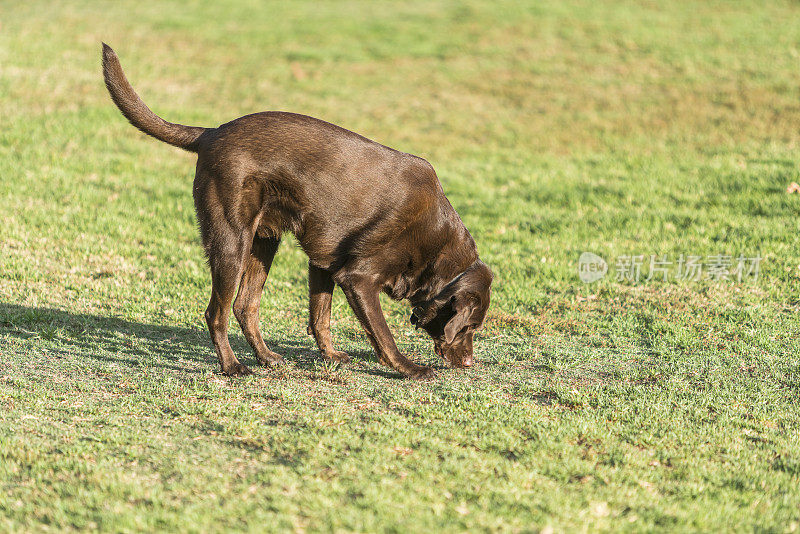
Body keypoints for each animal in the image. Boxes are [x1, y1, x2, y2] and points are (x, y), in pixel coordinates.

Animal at [100, 46, 490, 382]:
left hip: (263, 241)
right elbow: (383, 334)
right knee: (217, 313)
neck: (438, 251)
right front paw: (410, 369)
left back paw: (266, 357)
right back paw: (233, 366)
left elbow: (320, 316)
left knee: (245, 306)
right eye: (470, 327)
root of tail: (211, 133)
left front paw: (331, 357)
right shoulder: (358, 278)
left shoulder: (324, 264)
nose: (469, 363)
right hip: (231, 242)